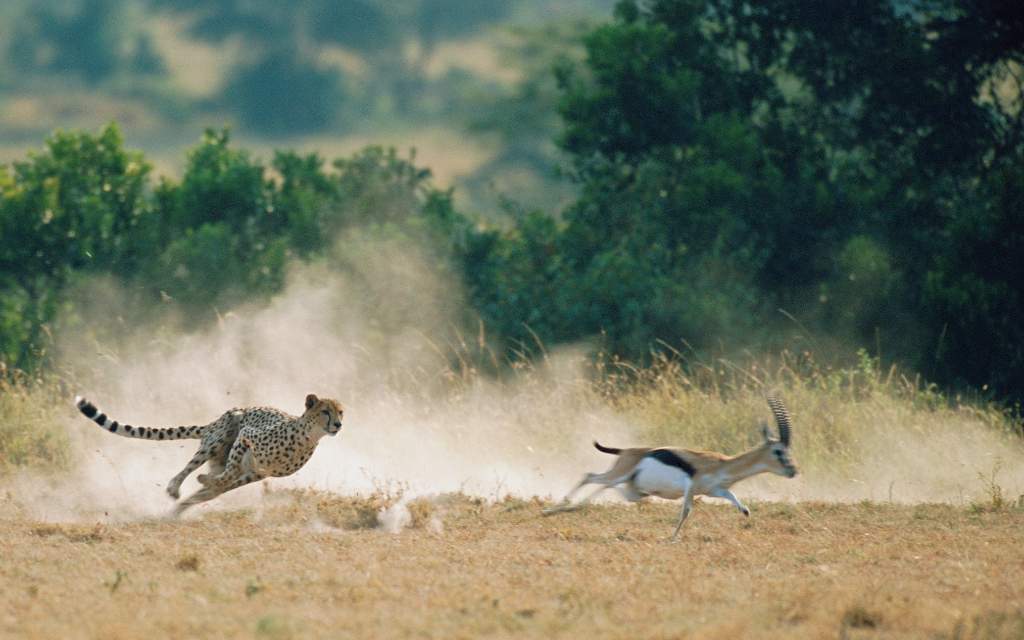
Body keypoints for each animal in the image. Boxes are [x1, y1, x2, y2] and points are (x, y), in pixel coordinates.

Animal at [74, 395, 344, 514]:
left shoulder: (259, 473)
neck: (307, 436)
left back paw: (183, 505)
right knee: (190, 468)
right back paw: (175, 488)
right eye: (325, 411)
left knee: (213, 484)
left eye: (340, 412)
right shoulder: (246, 435)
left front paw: (207, 487)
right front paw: (203, 483)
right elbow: (229, 471)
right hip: (221, 435)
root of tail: (214, 422)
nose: (338, 424)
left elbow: (227, 480)